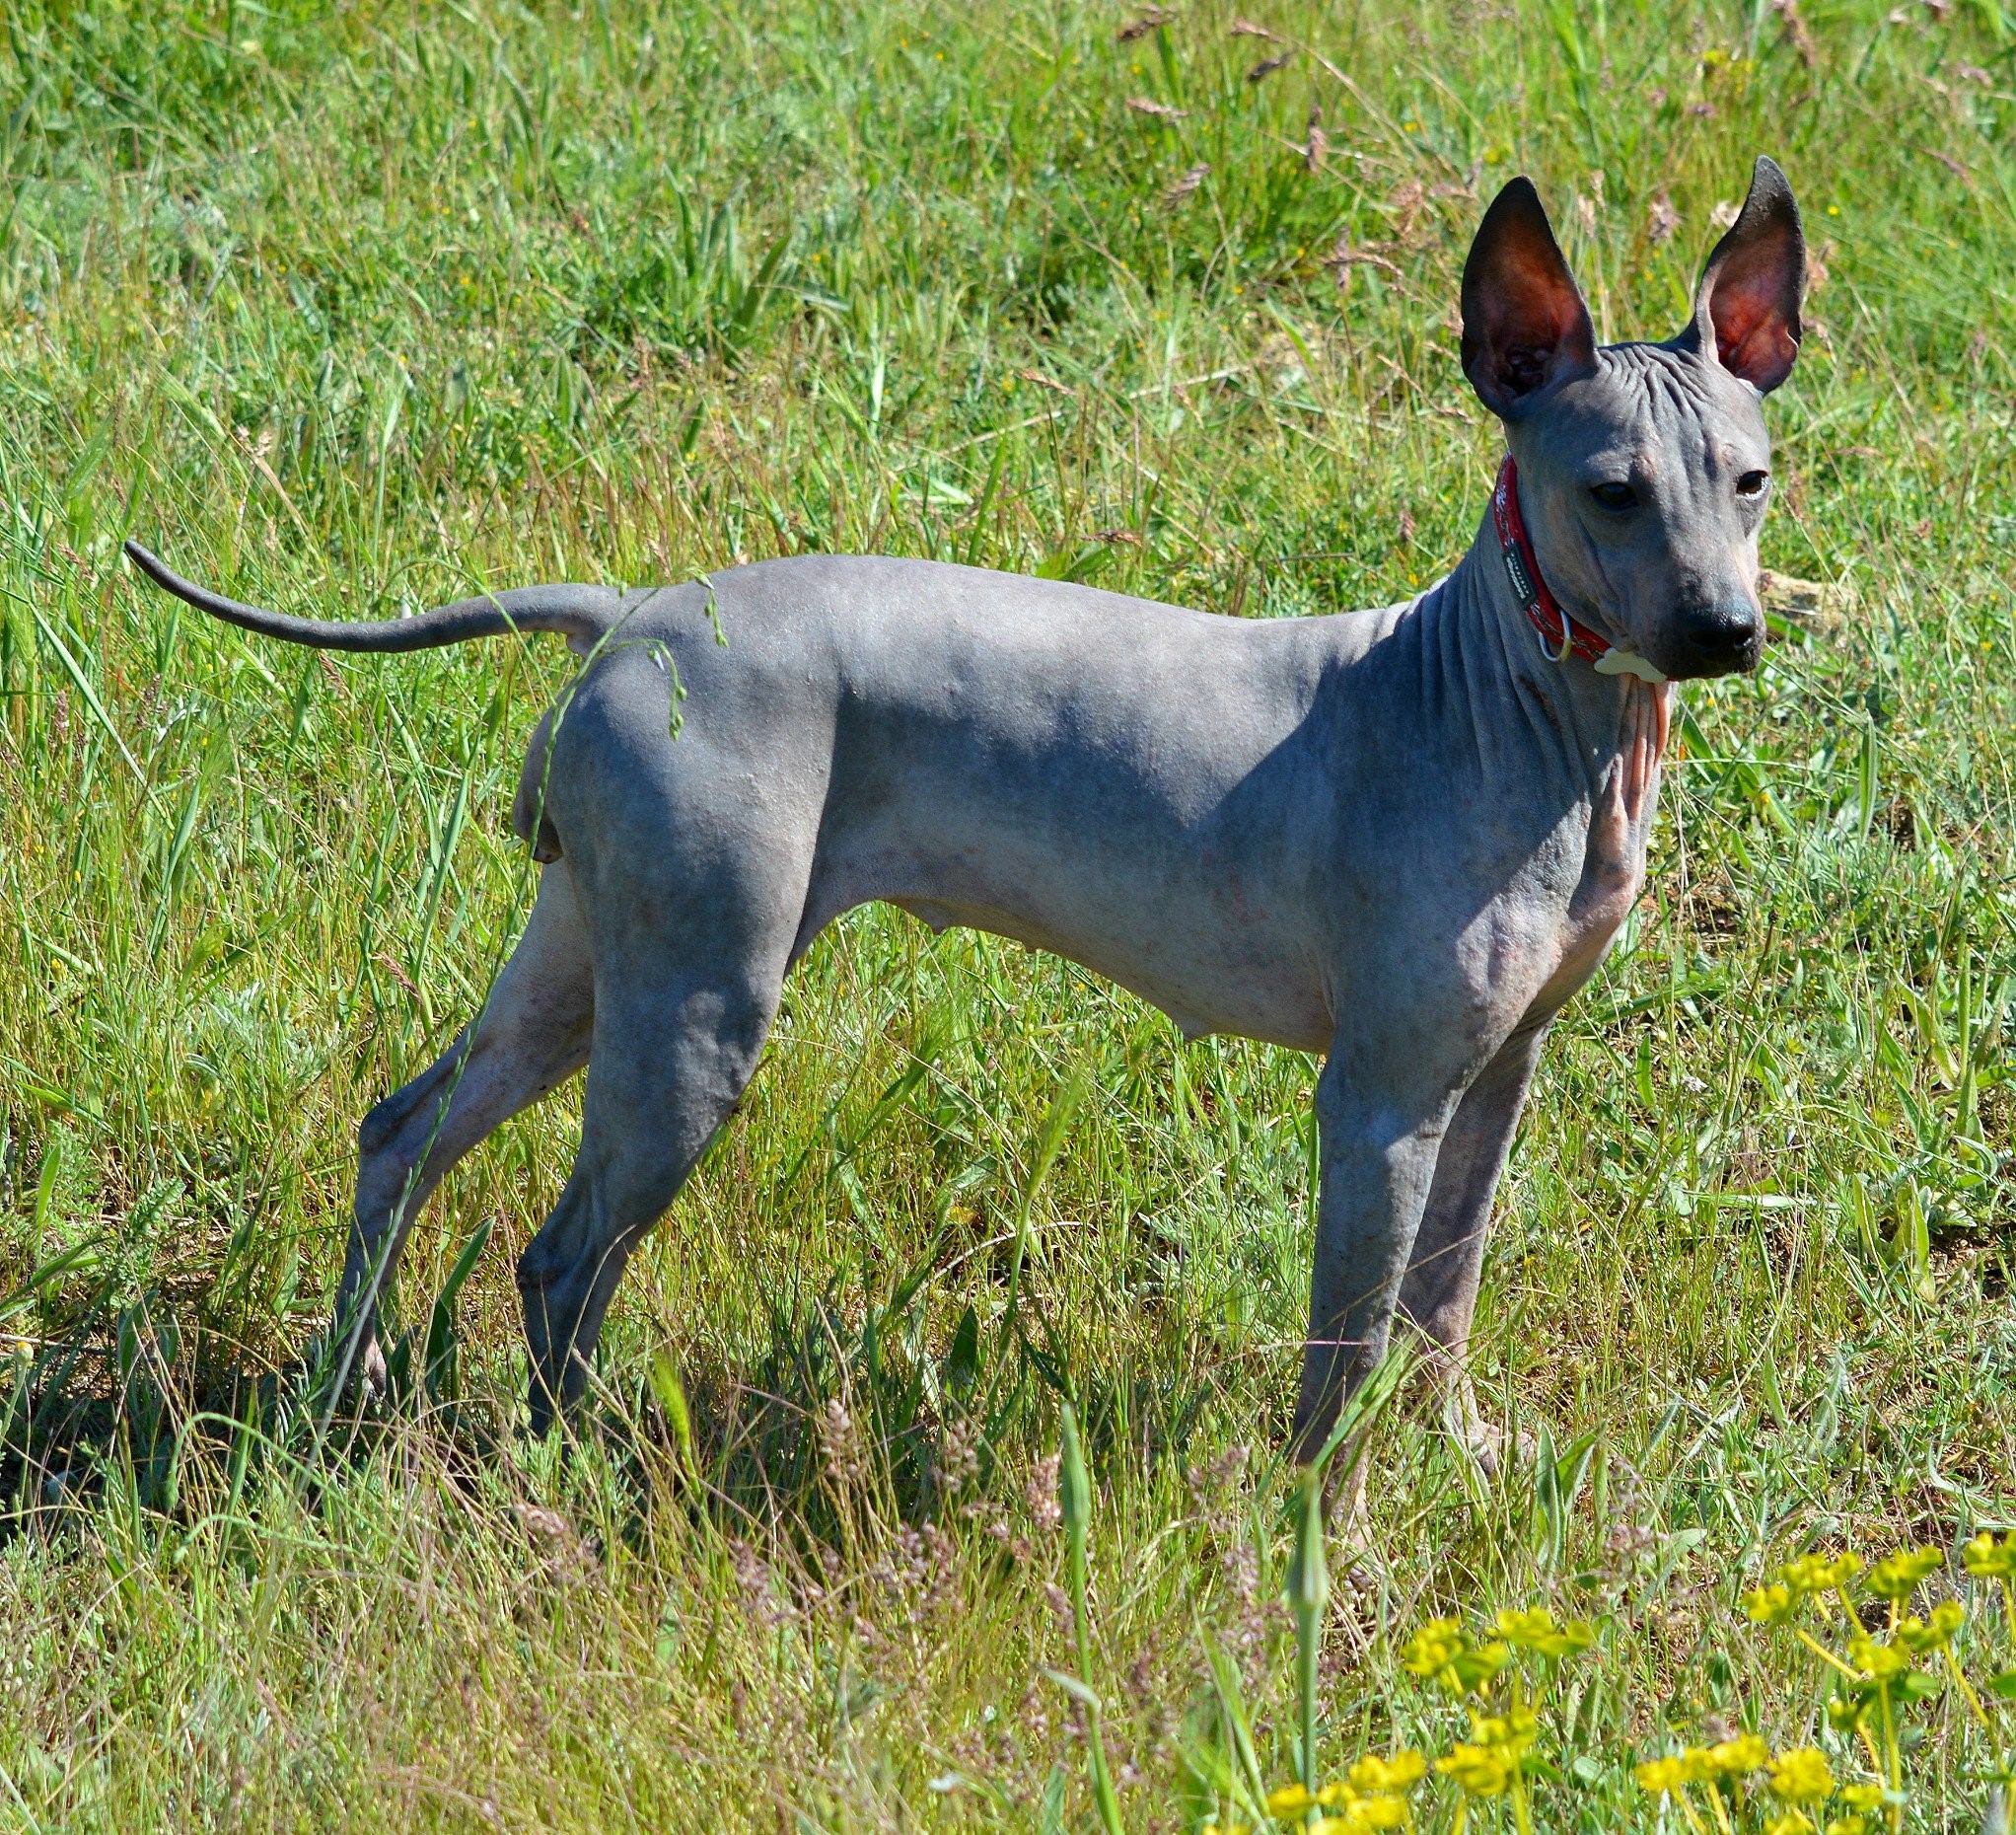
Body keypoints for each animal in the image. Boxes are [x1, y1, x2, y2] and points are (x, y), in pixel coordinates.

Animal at [129, 158, 1814, 1468]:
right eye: (1610, 492)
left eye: (1749, 479)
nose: (1725, 631)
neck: (1528, 716)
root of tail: (640, 612)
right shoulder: (1382, 1100)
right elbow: (1341, 1356)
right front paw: (1320, 1540)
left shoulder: (1499, 1076)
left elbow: (1444, 1301)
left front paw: (1457, 1453)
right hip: (698, 1006)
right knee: (557, 1259)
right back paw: (580, 1468)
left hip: (593, 953)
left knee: (404, 1131)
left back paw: (339, 1394)